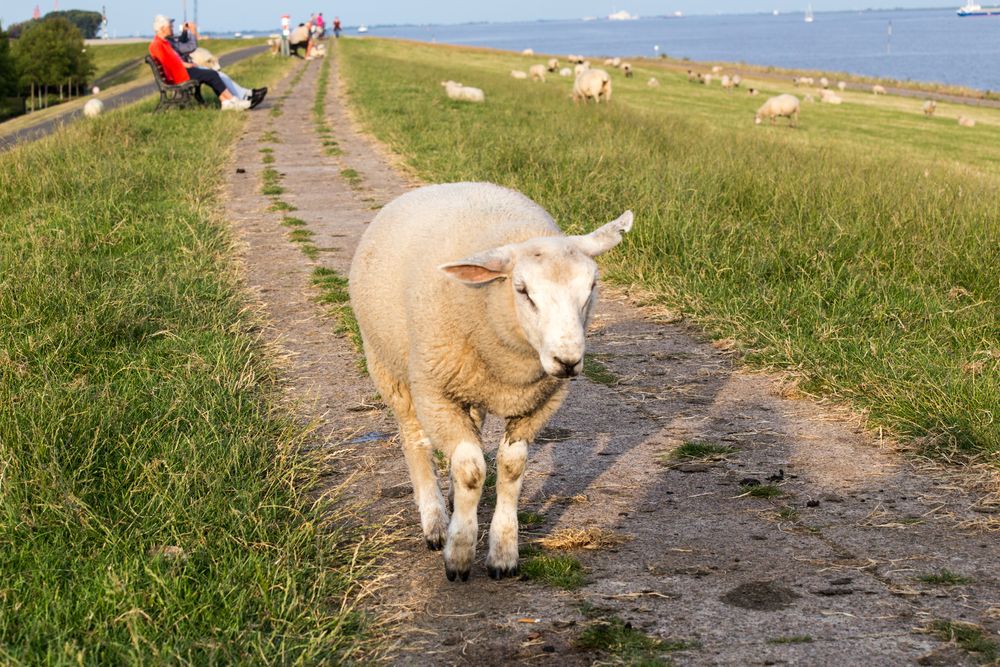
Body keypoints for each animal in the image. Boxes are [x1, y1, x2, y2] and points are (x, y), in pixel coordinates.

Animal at [352, 181, 632, 580]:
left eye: (592, 285)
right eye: (522, 290)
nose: (567, 361)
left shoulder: (537, 404)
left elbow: (511, 469)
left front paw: (503, 553)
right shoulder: (436, 392)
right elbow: (471, 470)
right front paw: (459, 553)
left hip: (467, 385)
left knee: (470, 426)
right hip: (391, 369)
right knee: (414, 439)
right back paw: (435, 520)